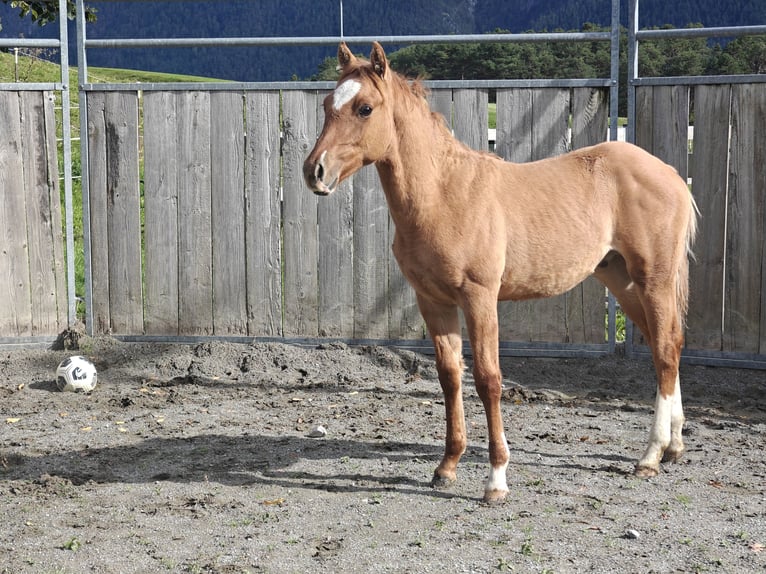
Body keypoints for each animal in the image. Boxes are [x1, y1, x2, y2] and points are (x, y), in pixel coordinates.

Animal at [303, 42, 698, 504]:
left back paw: (650, 456)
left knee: (666, 351)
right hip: (621, 280)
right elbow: (449, 377)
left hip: (654, 279)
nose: (315, 171)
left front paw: (496, 479)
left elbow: (488, 380)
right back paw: (674, 447)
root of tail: (670, 173)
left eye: (365, 108)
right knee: (665, 345)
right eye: (328, 105)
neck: (445, 194)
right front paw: (447, 467)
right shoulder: (433, 301)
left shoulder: (480, 298)